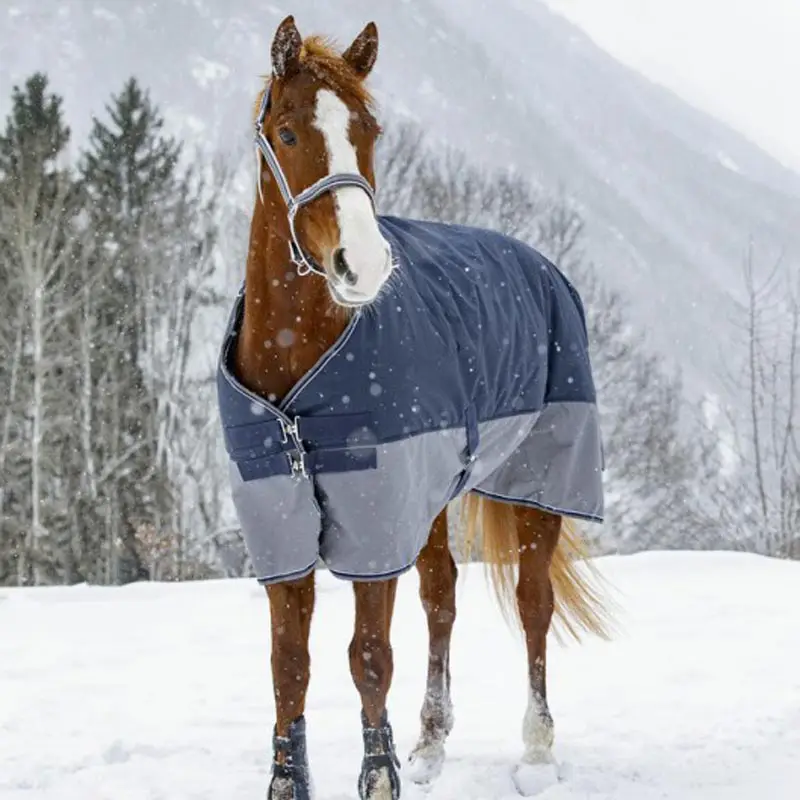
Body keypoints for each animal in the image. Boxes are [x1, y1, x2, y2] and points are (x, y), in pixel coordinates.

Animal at [216, 15, 612, 800]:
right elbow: (289, 665)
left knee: (533, 605)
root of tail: (542, 265)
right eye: (287, 132)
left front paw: (379, 776)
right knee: (442, 596)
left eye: (369, 130)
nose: (363, 265)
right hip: (428, 494)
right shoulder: (280, 519)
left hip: (539, 483)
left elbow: (368, 655)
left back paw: (537, 753)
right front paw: (291, 781)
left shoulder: (374, 518)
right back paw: (432, 744)